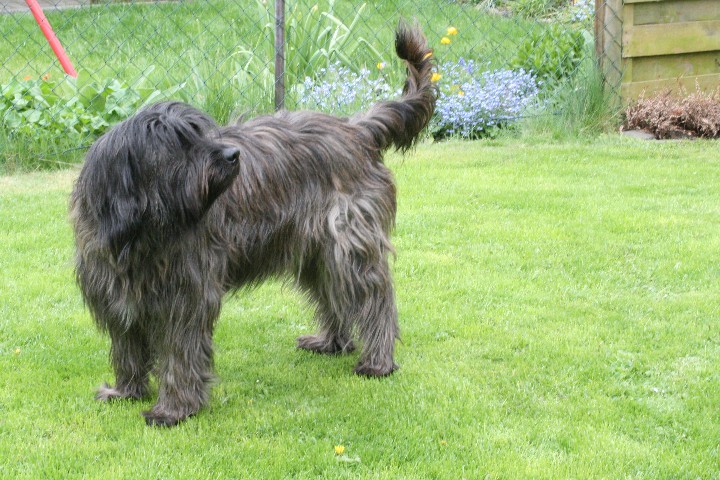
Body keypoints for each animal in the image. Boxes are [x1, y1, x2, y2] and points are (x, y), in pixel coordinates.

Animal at [71, 20, 434, 426]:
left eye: (202, 133)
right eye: (179, 144)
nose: (232, 155)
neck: (140, 232)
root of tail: (357, 129)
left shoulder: (187, 294)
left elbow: (180, 354)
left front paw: (174, 409)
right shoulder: (116, 294)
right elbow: (127, 348)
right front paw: (126, 391)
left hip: (348, 244)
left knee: (374, 298)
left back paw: (378, 362)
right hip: (315, 251)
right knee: (334, 294)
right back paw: (331, 343)